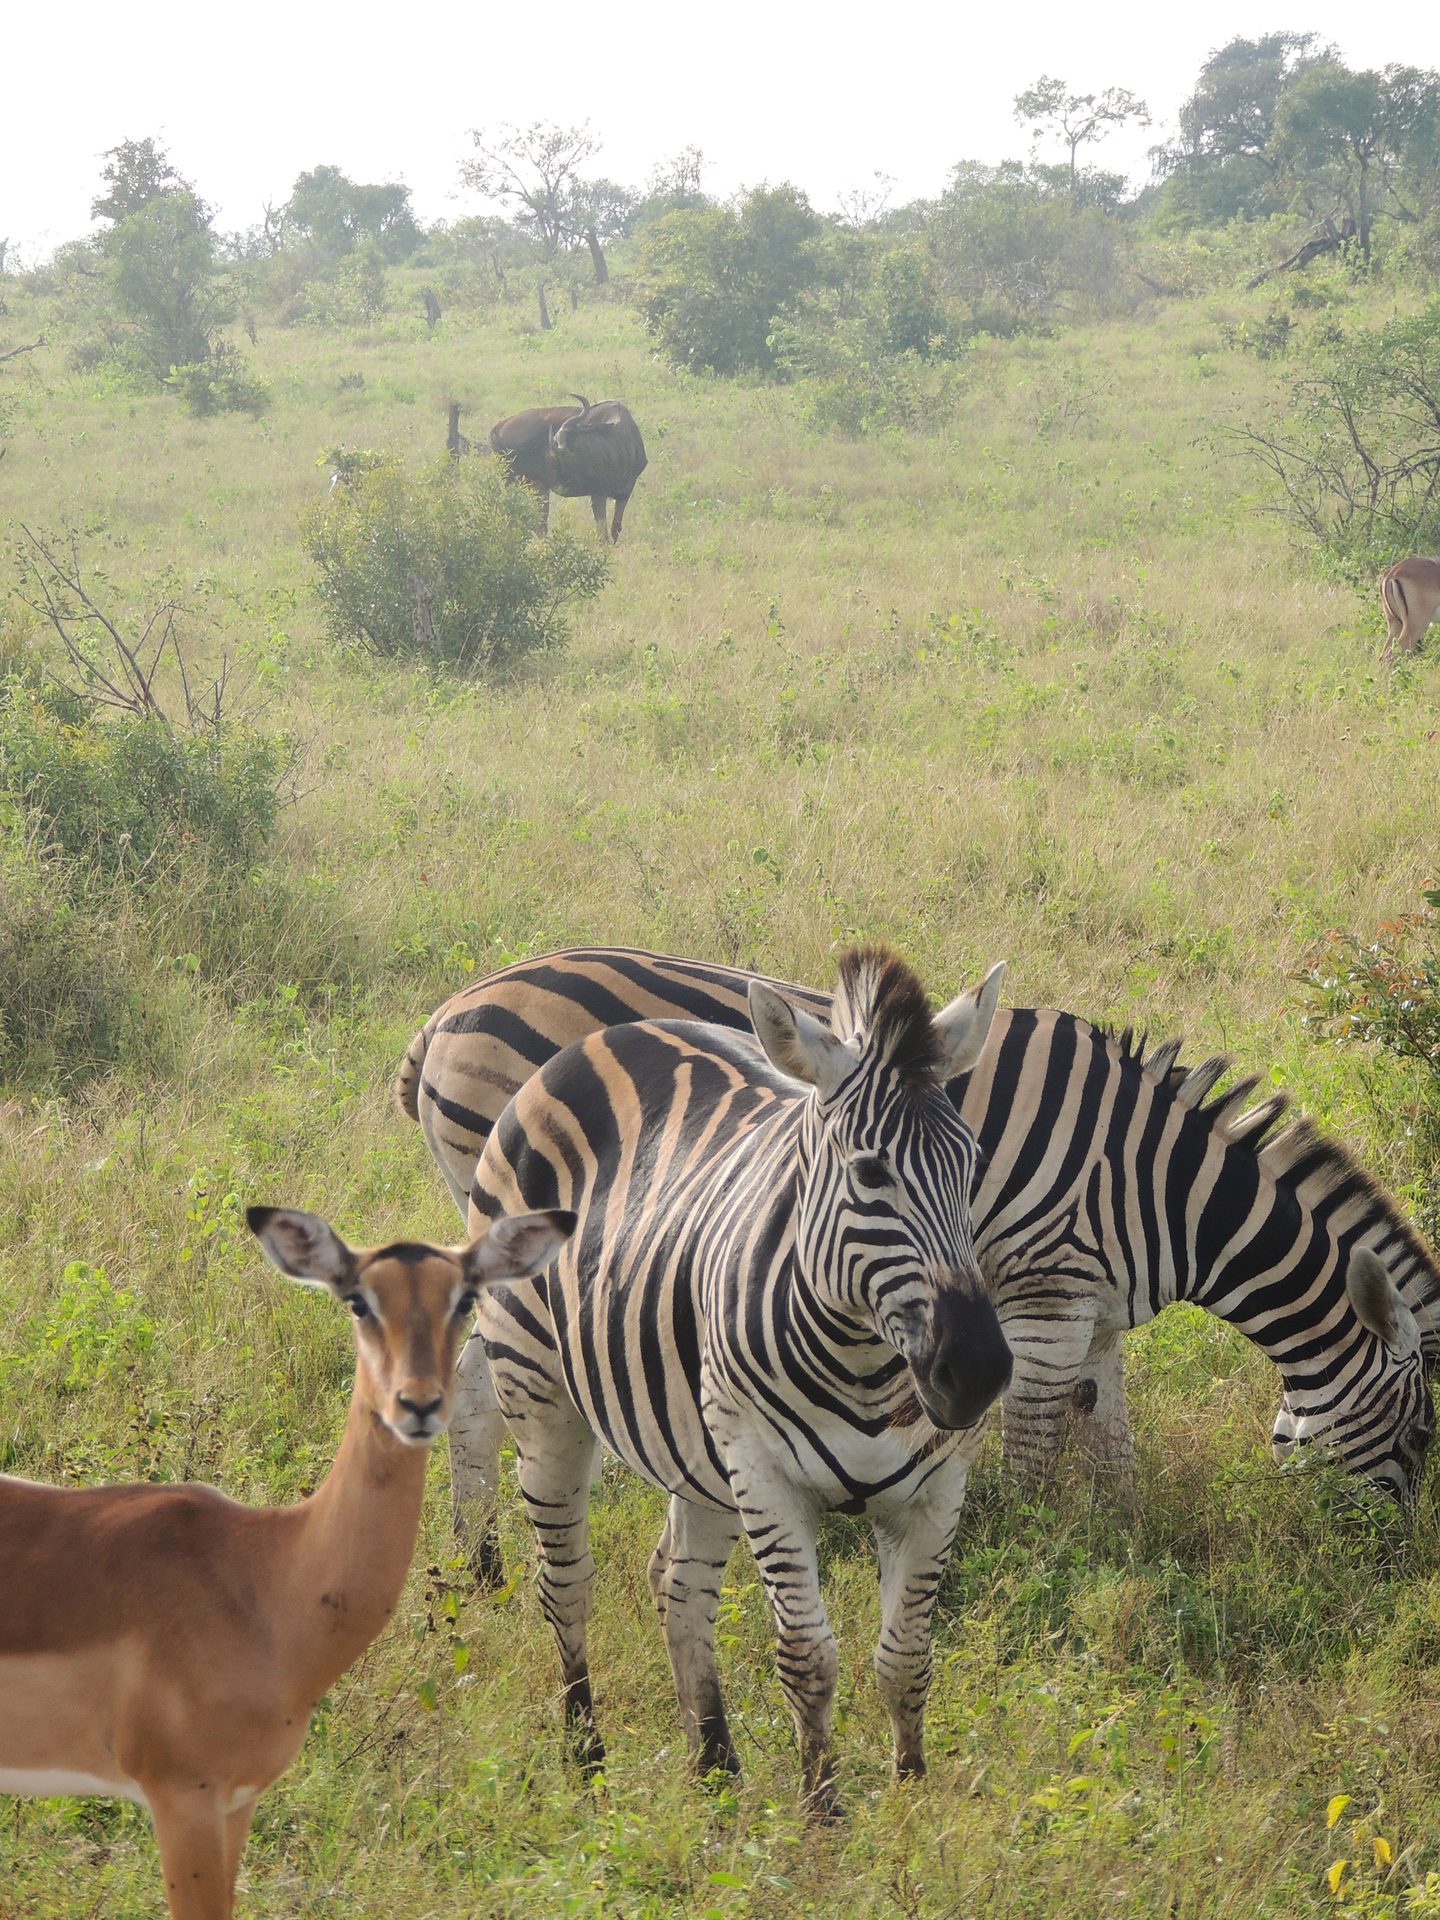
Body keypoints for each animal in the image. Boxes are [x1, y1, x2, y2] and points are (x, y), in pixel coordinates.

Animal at [0, 1203, 573, 1920]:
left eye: (465, 1297)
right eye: (358, 1299)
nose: (416, 1404)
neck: (268, 1579)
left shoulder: (238, 1801)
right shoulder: (183, 1797)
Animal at [395, 945, 1438, 1576]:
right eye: (1424, 1437)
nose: (1394, 1568)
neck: (1160, 1189)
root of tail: (444, 1017)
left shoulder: (1096, 1317)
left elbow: (1115, 1447)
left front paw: (1127, 1545)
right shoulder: (1046, 1305)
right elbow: (1035, 1450)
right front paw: (1034, 1561)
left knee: (478, 1384)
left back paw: (479, 1560)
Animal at [467, 946, 1014, 1813]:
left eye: (973, 1165)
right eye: (870, 1173)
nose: (978, 1371)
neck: (866, 1365)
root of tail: (597, 1040)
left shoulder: (934, 1492)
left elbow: (906, 1657)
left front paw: (911, 1800)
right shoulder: (768, 1477)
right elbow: (808, 1656)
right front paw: (823, 1813)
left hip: (697, 1448)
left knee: (678, 1582)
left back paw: (715, 1765)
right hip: (540, 1391)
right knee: (566, 1580)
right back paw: (585, 1755)